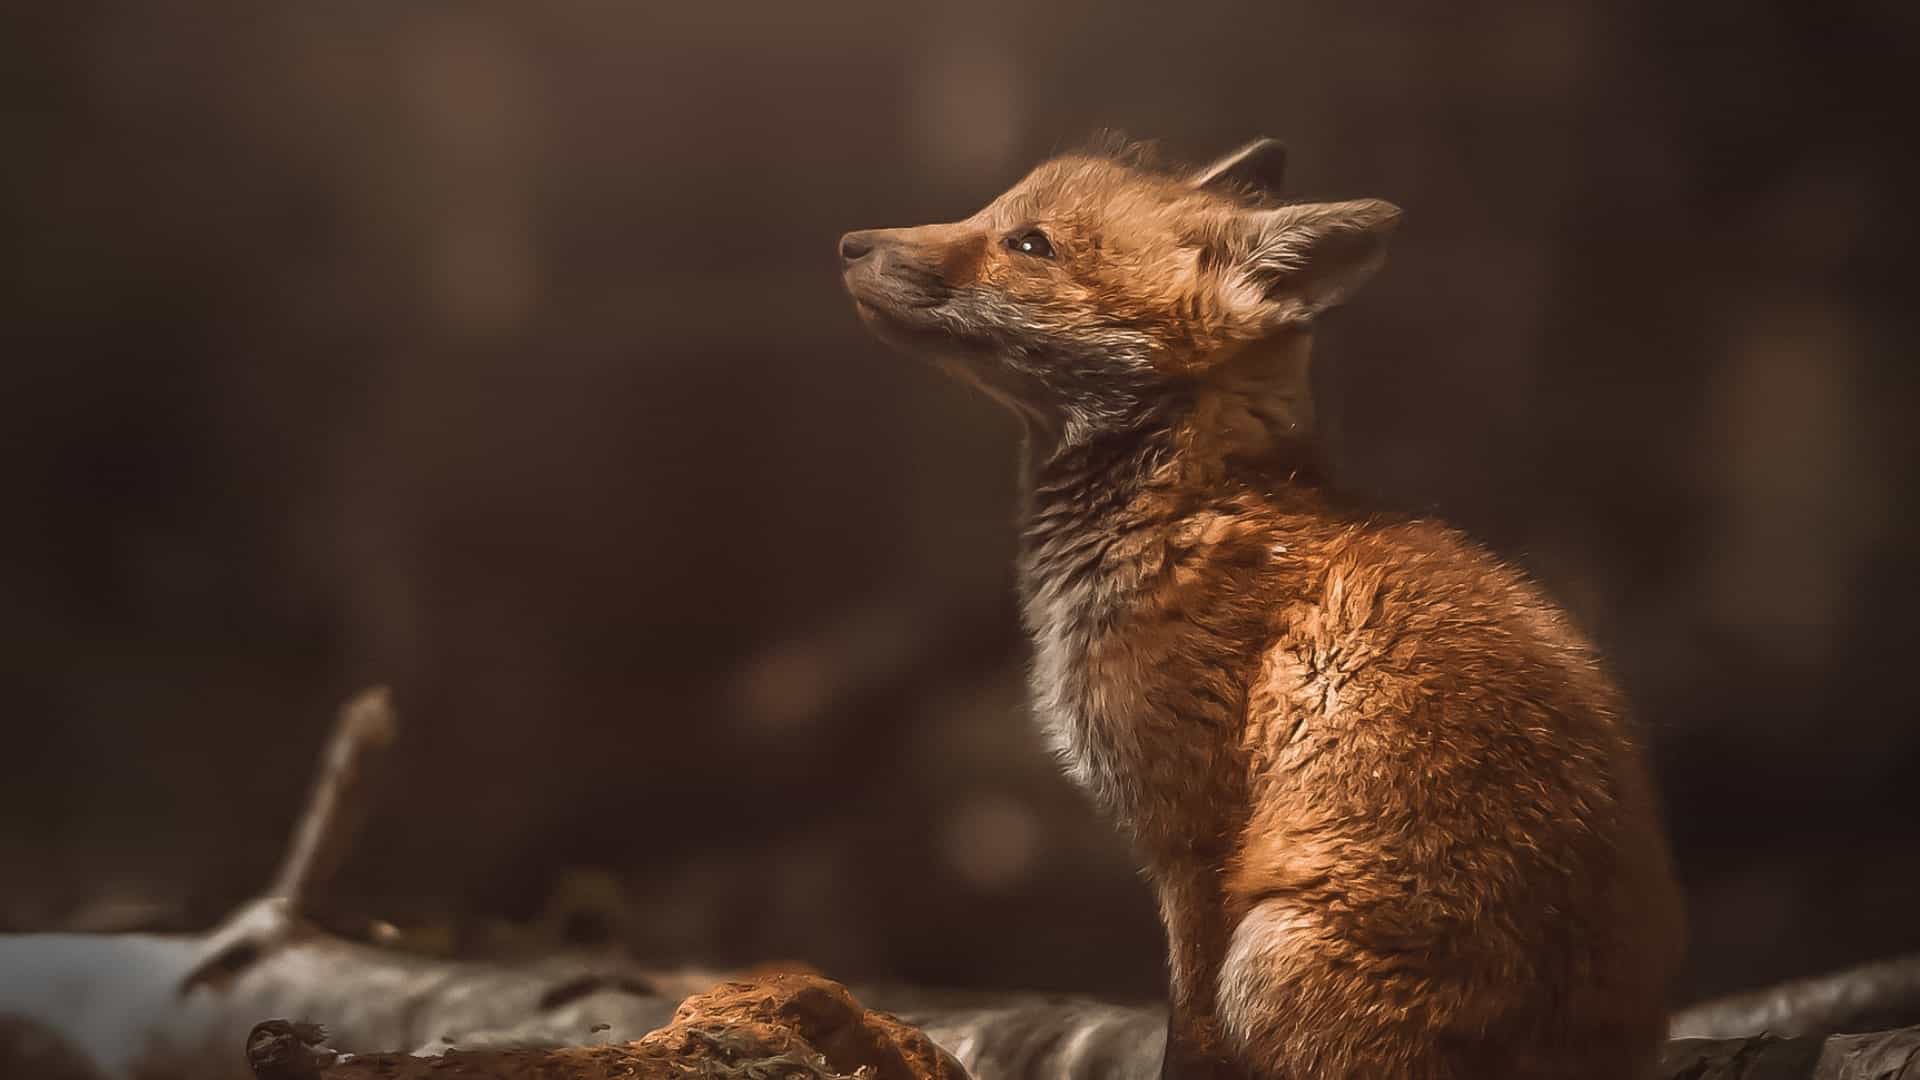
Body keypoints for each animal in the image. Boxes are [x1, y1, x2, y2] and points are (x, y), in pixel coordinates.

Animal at [838, 136, 1684, 1079]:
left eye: (1029, 244)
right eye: (991, 214)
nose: (848, 243)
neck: (1185, 512)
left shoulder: (1196, 843)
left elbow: (1190, 1033)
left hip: (1271, 948)